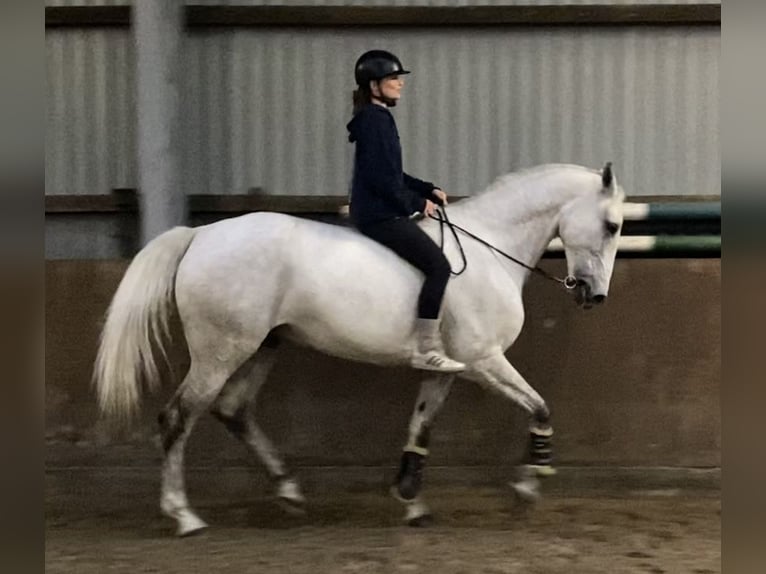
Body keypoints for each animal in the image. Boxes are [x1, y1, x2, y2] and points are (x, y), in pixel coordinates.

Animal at [93, 163, 628, 540]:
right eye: (612, 225)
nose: (595, 295)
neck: (492, 249)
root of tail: (201, 235)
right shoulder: (483, 360)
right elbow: (539, 406)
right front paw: (528, 485)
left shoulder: (450, 369)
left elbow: (421, 425)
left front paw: (411, 500)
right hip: (221, 349)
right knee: (178, 417)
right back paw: (185, 516)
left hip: (263, 345)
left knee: (233, 409)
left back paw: (289, 491)